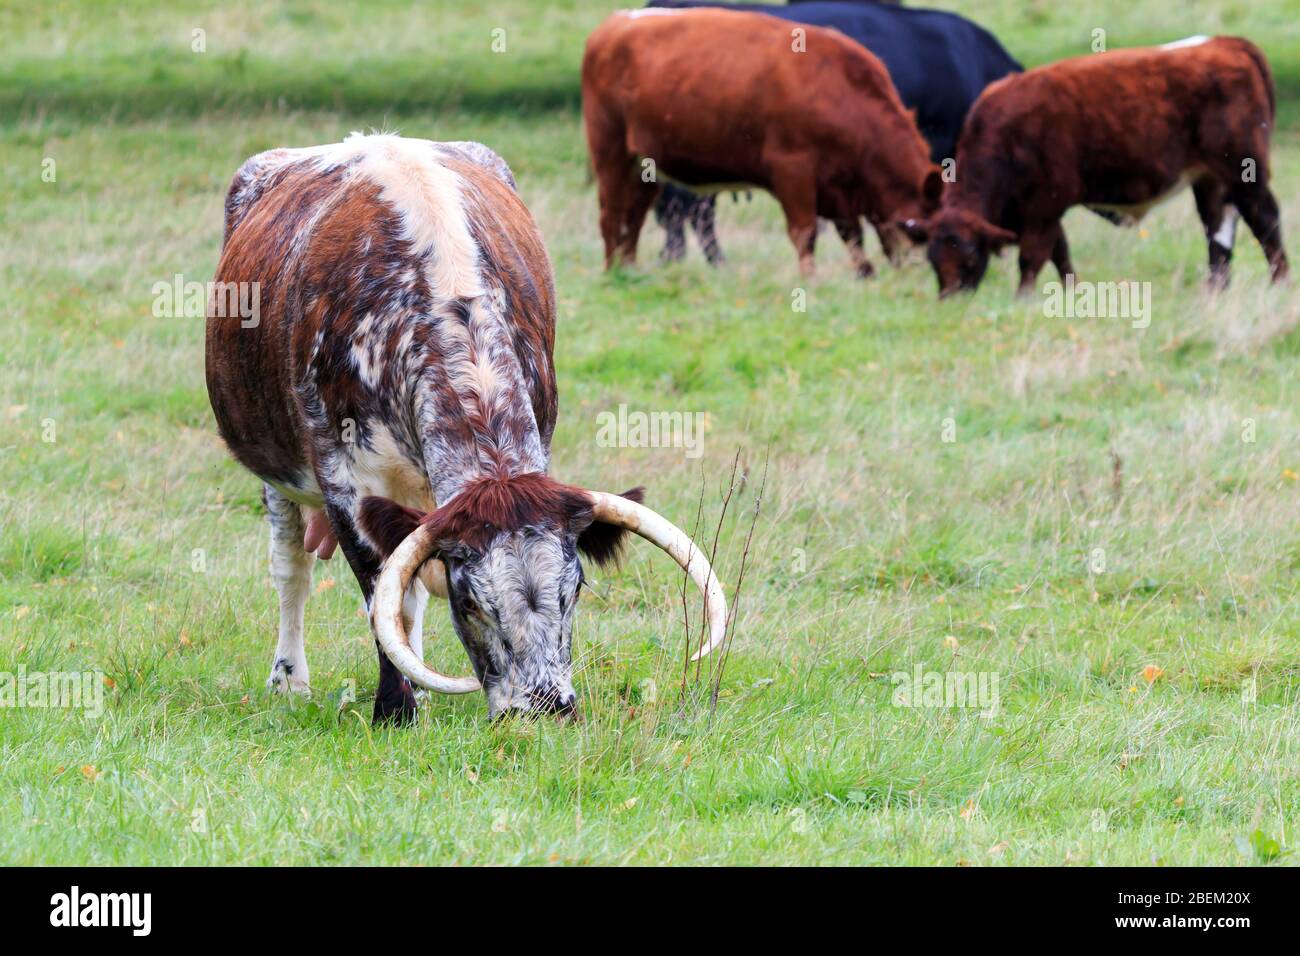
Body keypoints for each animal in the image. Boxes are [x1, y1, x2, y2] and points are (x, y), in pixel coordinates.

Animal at [205, 133, 727, 724]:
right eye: (472, 602)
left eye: (575, 588)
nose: (545, 706)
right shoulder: (345, 483)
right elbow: (378, 593)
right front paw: (395, 709)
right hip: (278, 476)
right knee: (292, 569)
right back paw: (290, 679)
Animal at [582, 8, 942, 278]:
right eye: (920, 232)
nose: (915, 274)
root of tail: (618, 22)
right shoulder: (793, 169)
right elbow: (805, 232)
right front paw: (810, 280)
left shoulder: (838, 187)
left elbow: (851, 232)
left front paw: (866, 274)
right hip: (610, 149)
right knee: (612, 213)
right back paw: (613, 272)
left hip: (646, 166)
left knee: (635, 215)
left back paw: (630, 267)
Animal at [903, 36, 1289, 297]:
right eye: (933, 259)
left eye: (968, 256)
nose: (950, 299)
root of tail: (1225, 43)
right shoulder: (1038, 209)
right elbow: (1060, 254)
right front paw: (1071, 293)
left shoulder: (1045, 205)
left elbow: (1033, 256)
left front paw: (1023, 298)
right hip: (1210, 179)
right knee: (1219, 233)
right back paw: (1214, 292)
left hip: (1244, 172)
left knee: (1265, 221)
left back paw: (1280, 282)